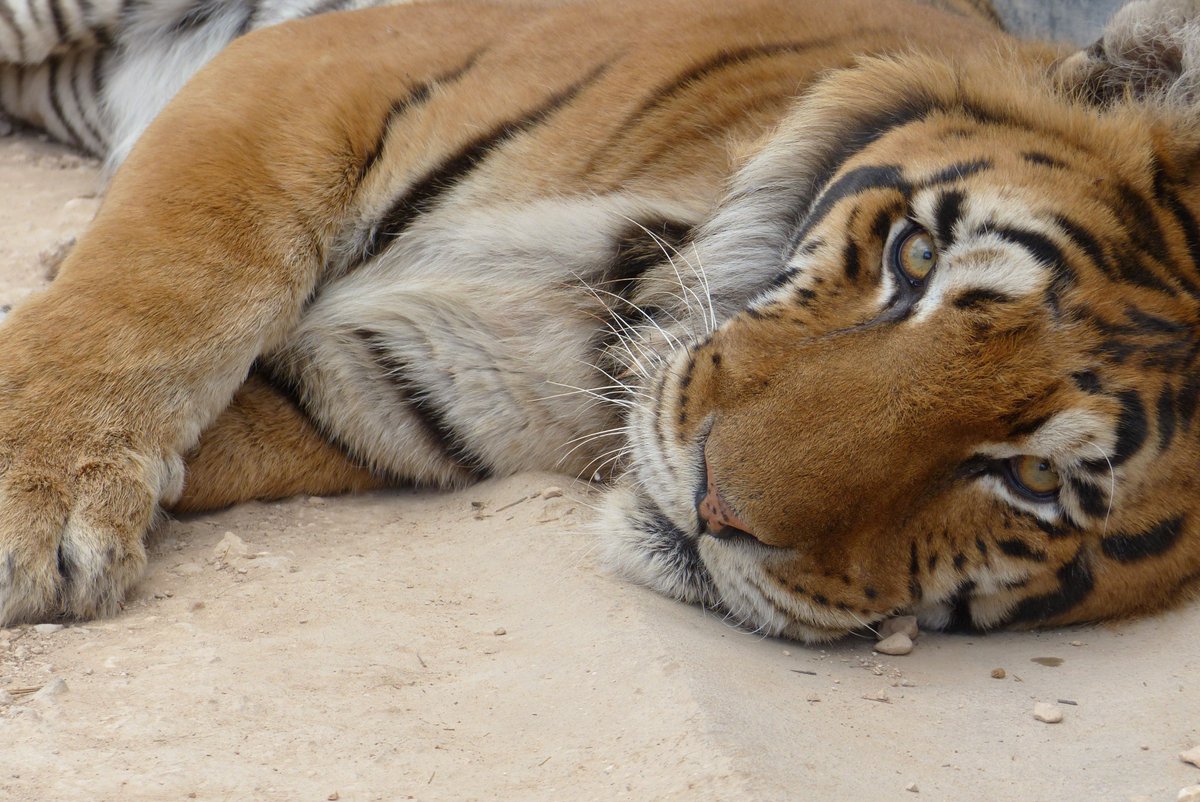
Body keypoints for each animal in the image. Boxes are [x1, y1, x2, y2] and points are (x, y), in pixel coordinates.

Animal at [0, 0, 1197, 643]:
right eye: (915, 258)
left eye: (1035, 480)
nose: (715, 507)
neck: (623, 304)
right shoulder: (309, 72)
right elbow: (158, 285)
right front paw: (33, 498)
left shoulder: (378, 384)